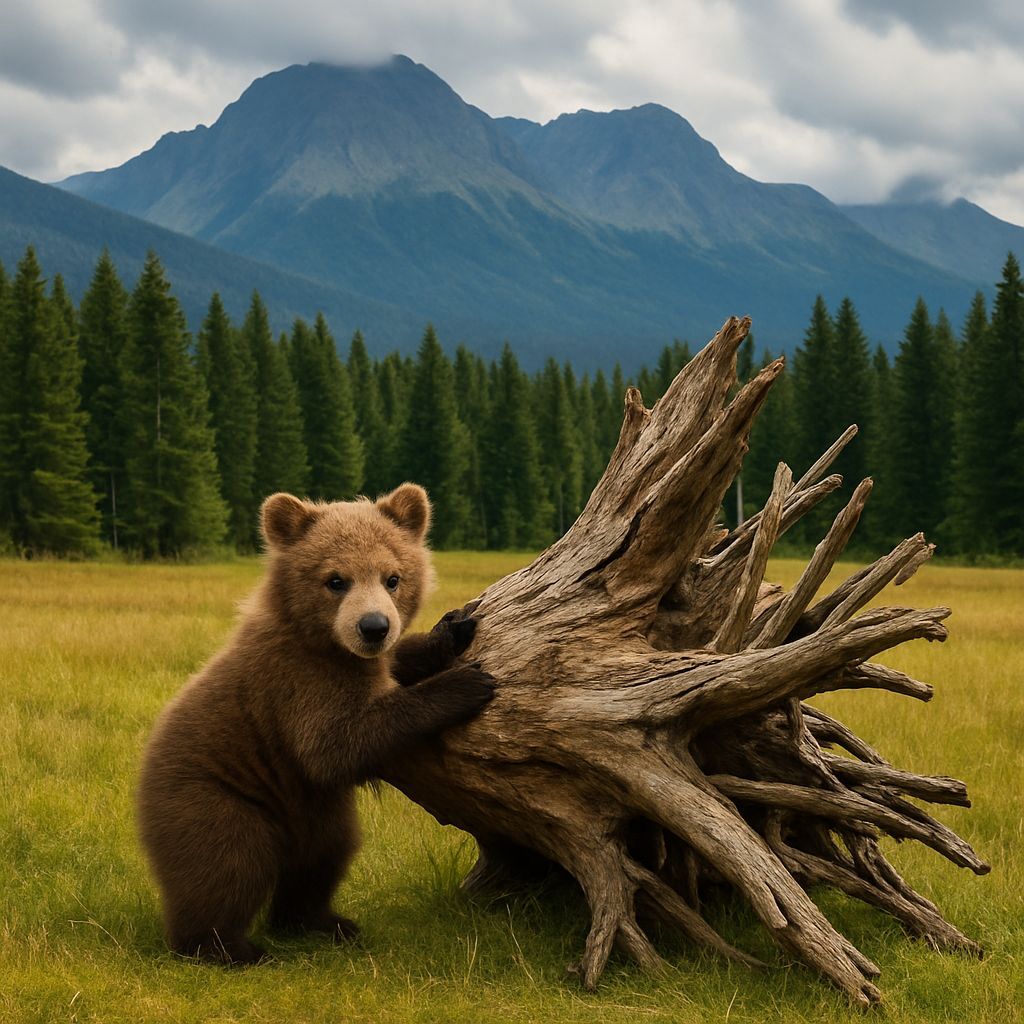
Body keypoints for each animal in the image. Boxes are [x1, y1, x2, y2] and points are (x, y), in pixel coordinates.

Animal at [136, 483, 495, 964]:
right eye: (336, 580)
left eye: (392, 577)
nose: (374, 626)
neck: (324, 643)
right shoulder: (297, 685)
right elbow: (337, 745)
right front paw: (467, 683)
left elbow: (397, 665)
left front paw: (451, 628)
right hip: (212, 798)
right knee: (228, 865)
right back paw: (227, 948)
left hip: (317, 811)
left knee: (325, 858)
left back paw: (322, 922)